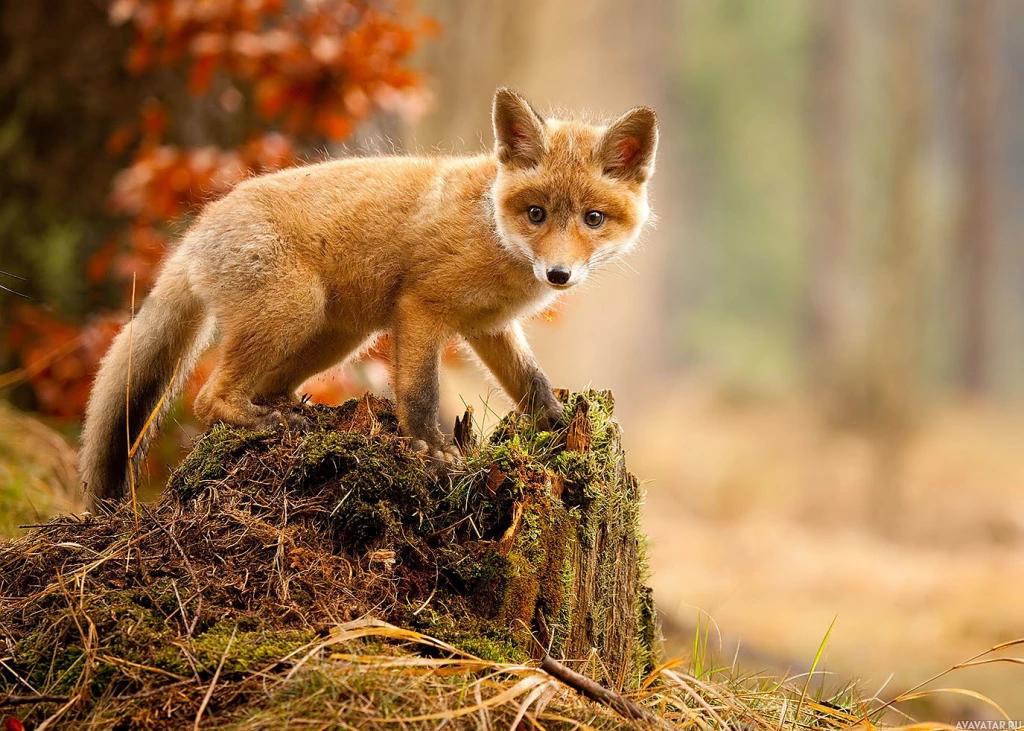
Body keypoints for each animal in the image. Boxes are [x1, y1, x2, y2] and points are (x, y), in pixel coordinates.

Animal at [77, 88, 655, 507]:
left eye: (593, 219)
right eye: (536, 213)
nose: (558, 274)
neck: (492, 230)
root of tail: (196, 233)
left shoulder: (489, 327)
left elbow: (531, 382)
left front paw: (559, 426)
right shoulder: (420, 309)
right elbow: (419, 394)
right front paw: (430, 451)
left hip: (338, 337)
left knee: (266, 387)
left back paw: (292, 414)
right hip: (296, 309)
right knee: (207, 399)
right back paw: (259, 419)